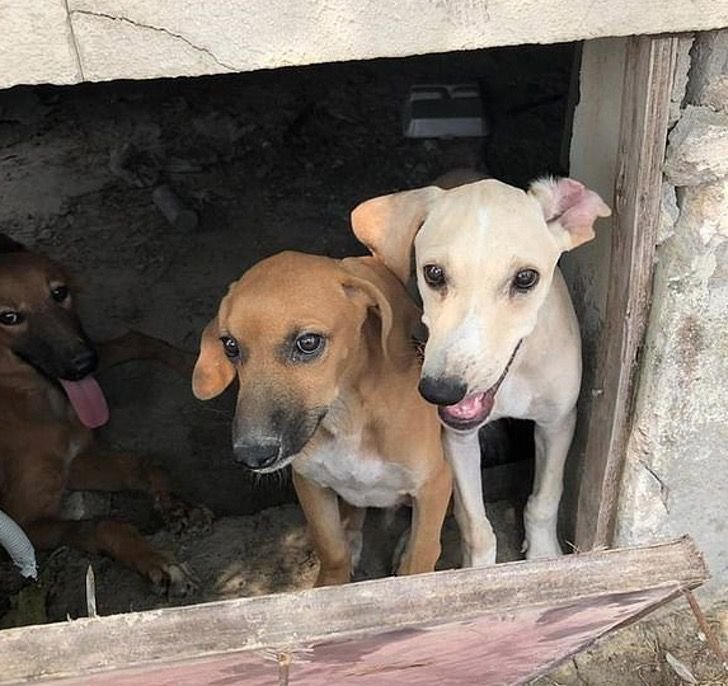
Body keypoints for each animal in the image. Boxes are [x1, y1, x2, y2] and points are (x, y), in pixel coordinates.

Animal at [0, 236, 202, 596]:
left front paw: (176, 503)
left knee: (135, 339)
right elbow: (102, 524)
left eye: (59, 292)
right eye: (8, 316)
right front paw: (159, 562)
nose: (83, 364)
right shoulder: (26, 523)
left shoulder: (74, 461)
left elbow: (141, 463)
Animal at [195, 255, 456, 588]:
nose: (252, 455)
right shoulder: (310, 484)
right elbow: (332, 549)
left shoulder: (434, 483)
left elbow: (422, 554)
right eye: (230, 346)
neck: (348, 419)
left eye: (308, 342)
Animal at [350, 177, 612, 568]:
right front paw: (477, 573)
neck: (514, 377)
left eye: (525, 278)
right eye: (434, 273)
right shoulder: (457, 438)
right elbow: (475, 525)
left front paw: (543, 556)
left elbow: (544, 501)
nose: (441, 391)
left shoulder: (558, 422)